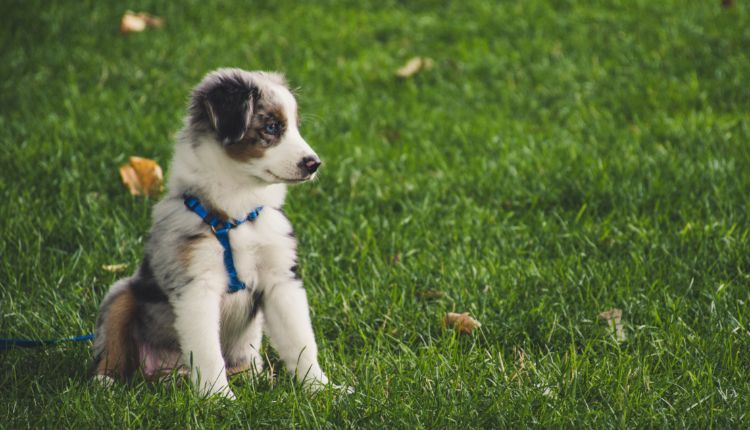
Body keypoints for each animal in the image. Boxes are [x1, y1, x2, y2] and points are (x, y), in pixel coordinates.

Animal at [92, 69, 342, 398]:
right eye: (272, 127)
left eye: (295, 128)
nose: (314, 164)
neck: (237, 212)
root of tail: (168, 373)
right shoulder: (197, 285)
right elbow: (208, 351)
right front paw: (218, 398)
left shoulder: (281, 279)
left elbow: (300, 341)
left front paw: (322, 389)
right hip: (122, 294)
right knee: (112, 343)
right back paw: (105, 381)